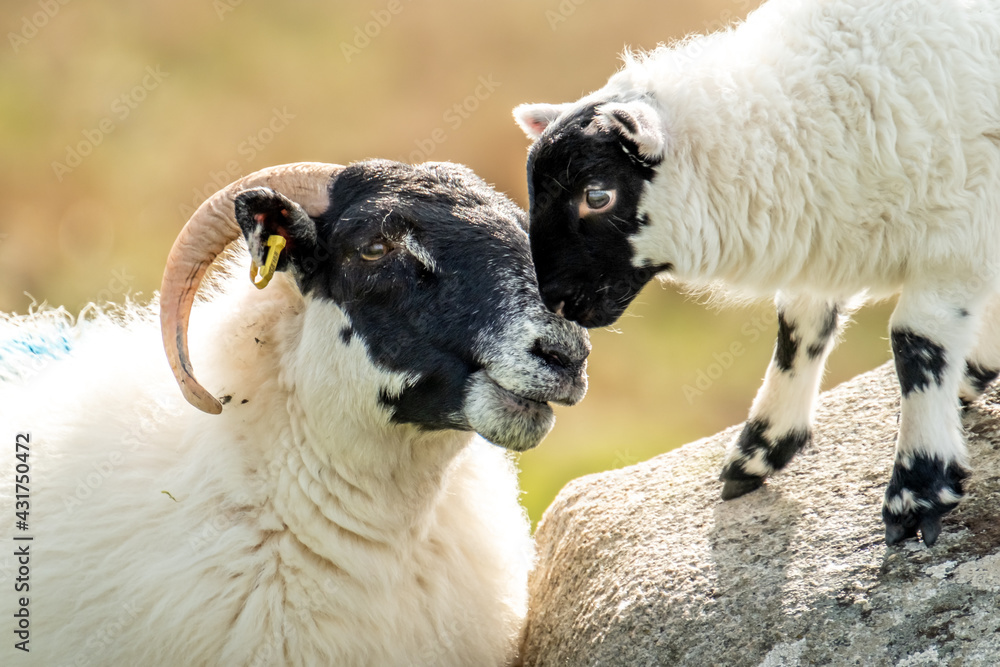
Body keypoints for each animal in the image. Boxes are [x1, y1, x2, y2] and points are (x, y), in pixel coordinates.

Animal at [511, 0, 1000, 547]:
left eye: (597, 195)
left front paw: (917, 490)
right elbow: (798, 330)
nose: (553, 300)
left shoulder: (958, 237)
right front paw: (760, 452)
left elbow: (916, 345)